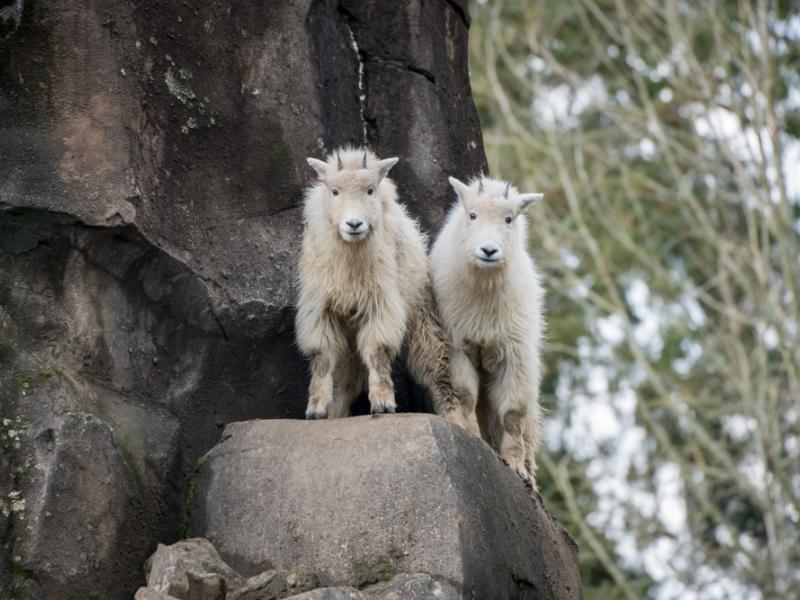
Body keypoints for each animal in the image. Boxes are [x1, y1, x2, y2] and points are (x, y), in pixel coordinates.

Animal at [296, 148, 462, 424]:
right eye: (334, 190)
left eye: (370, 190)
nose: (354, 224)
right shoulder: (320, 308)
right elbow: (323, 357)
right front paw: (316, 409)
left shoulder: (380, 304)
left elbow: (377, 352)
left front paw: (383, 403)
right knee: (347, 378)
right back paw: (336, 414)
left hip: (421, 312)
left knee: (437, 366)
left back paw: (457, 420)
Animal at [432, 176, 544, 486]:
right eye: (472, 215)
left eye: (509, 218)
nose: (489, 251)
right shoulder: (457, 344)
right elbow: (465, 394)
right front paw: (472, 437)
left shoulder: (515, 354)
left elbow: (512, 413)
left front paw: (515, 465)